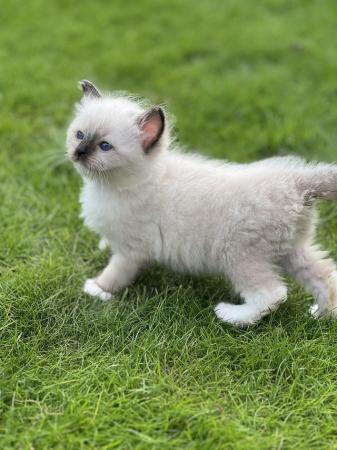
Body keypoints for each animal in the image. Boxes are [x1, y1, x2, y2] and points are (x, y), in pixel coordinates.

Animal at [65, 81, 336, 326]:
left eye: (104, 146)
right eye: (79, 135)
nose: (79, 153)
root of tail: (297, 182)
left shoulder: (130, 251)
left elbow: (114, 274)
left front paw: (97, 289)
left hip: (239, 255)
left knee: (273, 294)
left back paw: (229, 315)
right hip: (292, 251)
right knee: (327, 277)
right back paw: (321, 315)